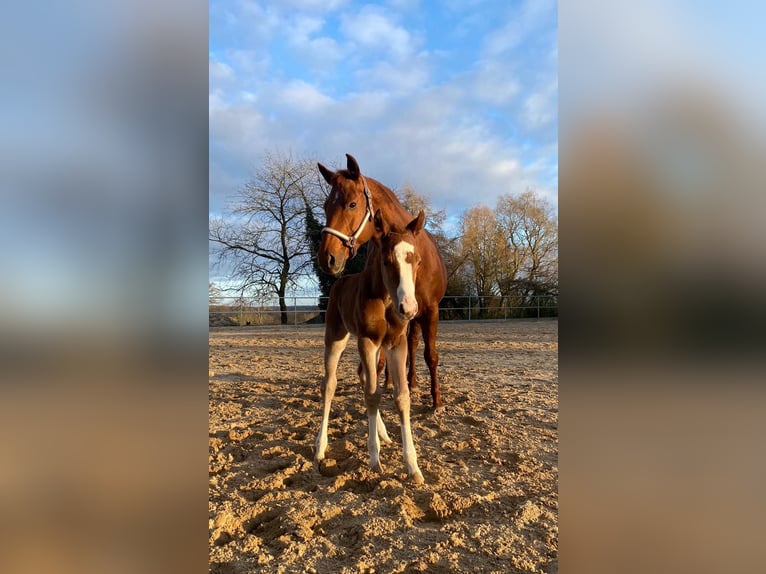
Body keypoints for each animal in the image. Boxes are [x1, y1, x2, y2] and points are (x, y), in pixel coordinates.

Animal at [316, 209, 428, 484]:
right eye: (387, 262)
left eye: (418, 261)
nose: (409, 308)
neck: (386, 299)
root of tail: (340, 281)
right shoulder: (366, 340)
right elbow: (372, 394)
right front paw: (375, 460)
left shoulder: (396, 343)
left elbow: (401, 396)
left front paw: (413, 466)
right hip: (336, 337)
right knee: (330, 384)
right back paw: (320, 447)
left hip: (377, 349)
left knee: (363, 376)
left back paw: (383, 433)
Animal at [318, 155, 450, 412]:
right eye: (326, 206)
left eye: (352, 204)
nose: (327, 258)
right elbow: (378, 363)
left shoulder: (431, 310)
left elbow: (430, 355)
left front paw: (437, 402)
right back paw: (394, 382)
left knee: (413, 345)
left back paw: (412, 384)